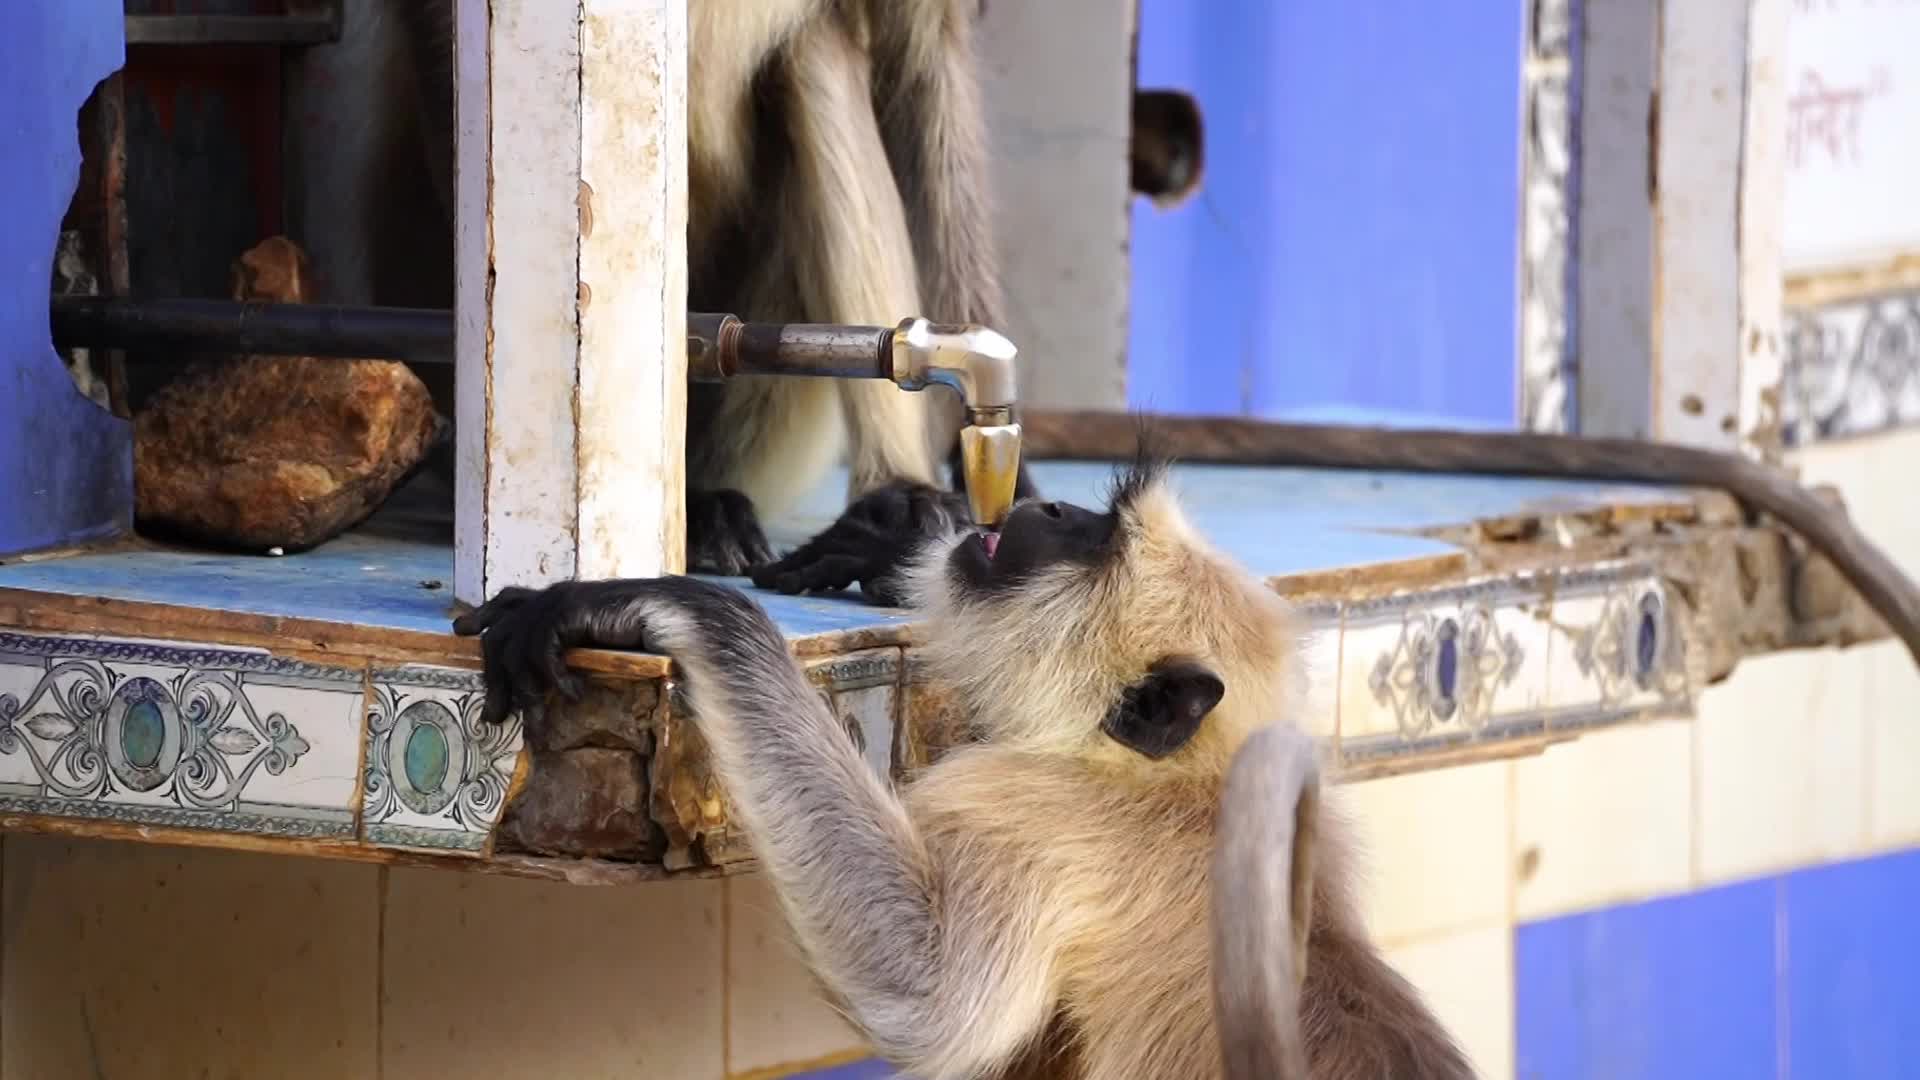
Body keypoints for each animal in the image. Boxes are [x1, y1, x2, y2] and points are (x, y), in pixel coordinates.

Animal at [453, 448, 1476, 1079]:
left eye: (1092, 537)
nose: (1049, 502)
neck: (1189, 779)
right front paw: (902, 525)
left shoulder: (1034, 816)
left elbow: (927, 1000)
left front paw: (679, 611)